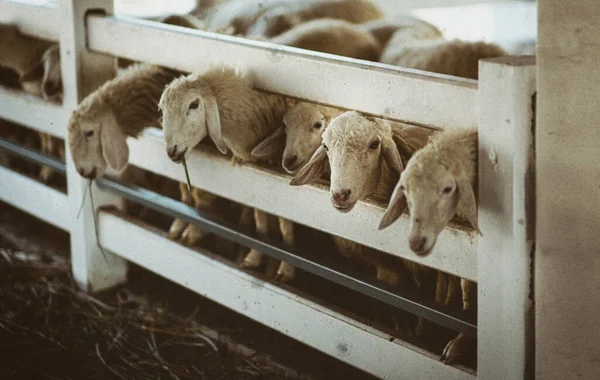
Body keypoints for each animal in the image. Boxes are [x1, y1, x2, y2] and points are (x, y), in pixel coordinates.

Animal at [158, 65, 296, 282]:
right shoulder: (258, 178)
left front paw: (286, 268)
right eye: (162, 110)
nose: (171, 151)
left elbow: (285, 221)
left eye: (194, 104)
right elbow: (260, 215)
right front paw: (254, 256)